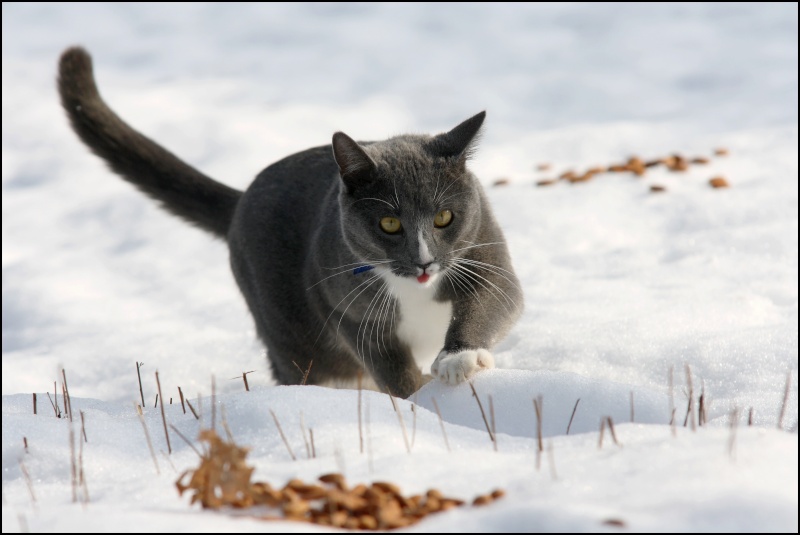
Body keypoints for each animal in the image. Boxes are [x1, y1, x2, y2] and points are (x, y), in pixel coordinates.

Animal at [54, 47, 520, 398]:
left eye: (444, 217)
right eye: (389, 223)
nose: (423, 262)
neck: (414, 289)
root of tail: (241, 200)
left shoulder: (485, 254)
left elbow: (493, 301)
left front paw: (459, 360)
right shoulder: (343, 305)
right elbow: (390, 365)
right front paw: (418, 397)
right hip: (287, 326)